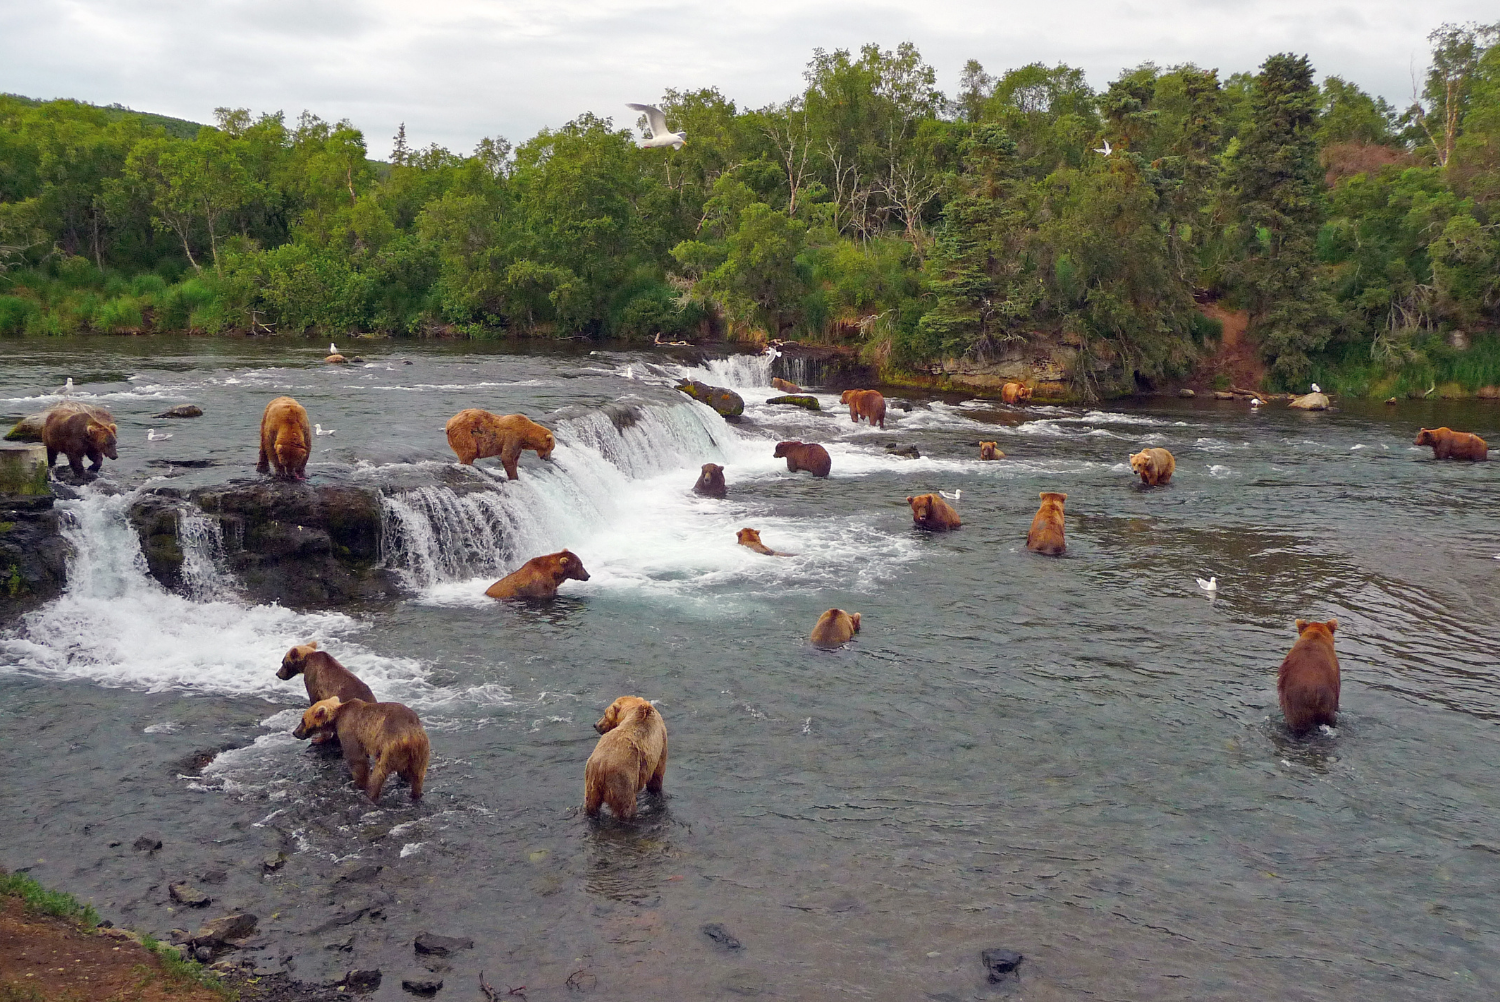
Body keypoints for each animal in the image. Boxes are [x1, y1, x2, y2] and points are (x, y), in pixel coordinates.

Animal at [292, 696, 430, 802]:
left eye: (303, 720)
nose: (295, 732)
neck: (337, 717)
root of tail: (411, 737)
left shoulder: (350, 728)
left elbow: (357, 759)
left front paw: (358, 784)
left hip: (390, 746)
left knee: (380, 772)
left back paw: (371, 794)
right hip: (421, 751)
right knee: (418, 776)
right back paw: (415, 793)